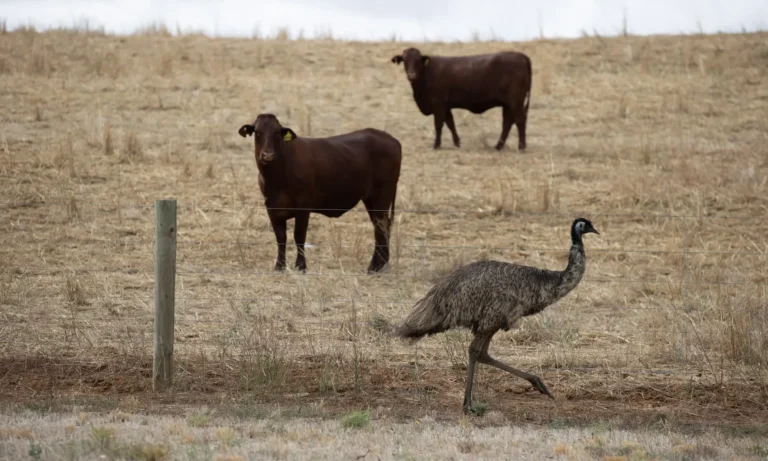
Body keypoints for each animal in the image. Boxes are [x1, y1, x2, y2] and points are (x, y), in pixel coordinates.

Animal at [238, 114, 402, 274]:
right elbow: (281, 238)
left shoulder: (303, 208)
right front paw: (279, 266)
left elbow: (299, 236)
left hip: (382, 194)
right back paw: (380, 265)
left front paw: (301, 266)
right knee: (381, 226)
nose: (268, 155)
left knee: (381, 226)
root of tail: (390, 139)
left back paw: (375, 266)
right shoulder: (272, 208)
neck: (278, 176)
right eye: (258, 132)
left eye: (277, 133)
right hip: (370, 199)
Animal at [391, 47, 532, 151]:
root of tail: (521, 56)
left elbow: (438, 125)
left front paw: (436, 145)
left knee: (520, 120)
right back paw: (498, 146)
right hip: (508, 104)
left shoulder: (438, 105)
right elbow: (450, 123)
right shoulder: (446, 107)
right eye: (405, 60)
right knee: (507, 122)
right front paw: (457, 142)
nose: (412, 75)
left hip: (515, 101)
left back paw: (521, 146)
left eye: (418, 60)